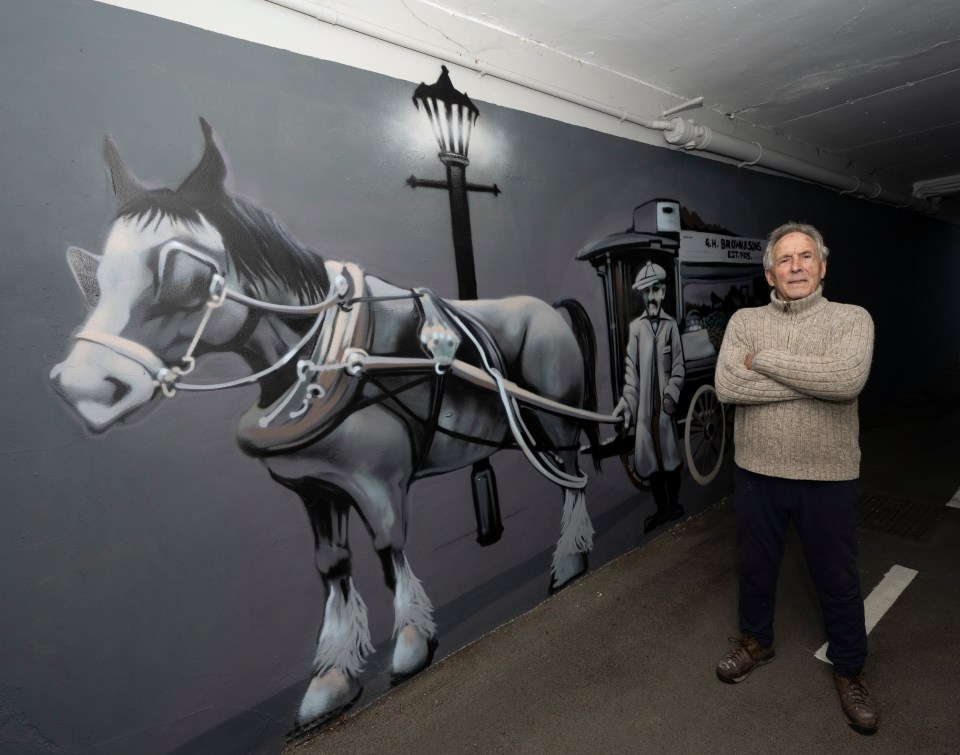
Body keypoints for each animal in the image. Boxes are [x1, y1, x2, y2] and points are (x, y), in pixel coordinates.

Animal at [48, 119, 604, 728]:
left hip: (556, 420)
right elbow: (332, 566)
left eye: (189, 277)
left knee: (572, 479)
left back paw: (571, 559)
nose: (83, 385)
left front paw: (412, 643)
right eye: (96, 276)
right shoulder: (316, 490)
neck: (330, 361)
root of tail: (549, 307)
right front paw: (333, 677)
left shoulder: (380, 483)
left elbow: (390, 551)